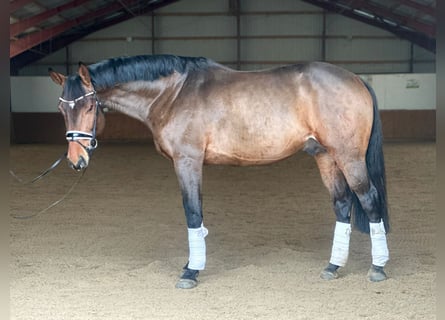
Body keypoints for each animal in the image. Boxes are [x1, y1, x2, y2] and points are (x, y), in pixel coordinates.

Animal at [49, 53, 388, 288]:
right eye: (62, 109)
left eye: (89, 107)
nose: (76, 160)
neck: (172, 93)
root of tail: (356, 79)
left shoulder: (187, 161)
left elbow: (192, 212)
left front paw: (190, 271)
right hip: (325, 156)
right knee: (342, 204)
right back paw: (333, 267)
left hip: (348, 157)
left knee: (370, 201)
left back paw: (378, 268)